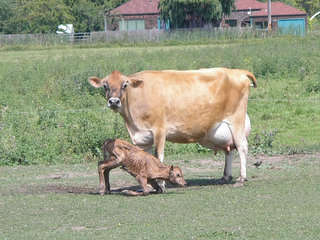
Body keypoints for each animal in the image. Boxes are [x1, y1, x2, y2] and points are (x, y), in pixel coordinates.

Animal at [88, 67, 258, 188]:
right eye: (105, 86)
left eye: (124, 85)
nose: (114, 101)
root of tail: (237, 71)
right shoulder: (143, 137)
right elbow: (146, 158)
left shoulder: (159, 130)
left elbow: (158, 156)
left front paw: (161, 183)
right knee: (230, 150)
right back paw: (225, 176)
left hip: (236, 120)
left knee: (242, 146)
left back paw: (241, 179)